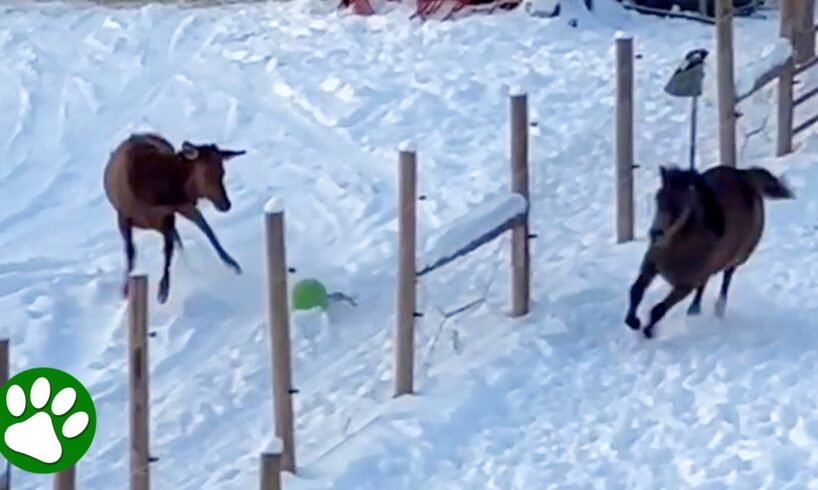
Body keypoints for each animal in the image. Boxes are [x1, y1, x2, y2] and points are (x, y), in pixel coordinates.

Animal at [103, 133, 246, 304]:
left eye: (222, 173)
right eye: (206, 173)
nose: (226, 204)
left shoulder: (169, 215)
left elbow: (169, 249)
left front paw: (163, 290)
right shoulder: (123, 216)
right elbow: (131, 252)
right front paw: (126, 290)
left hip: (182, 209)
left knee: (201, 229)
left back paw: (227, 262)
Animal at [625, 164, 794, 339]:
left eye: (679, 207)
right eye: (658, 199)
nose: (655, 234)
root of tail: (745, 175)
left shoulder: (685, 285)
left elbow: (658, 309)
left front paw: (648, 331)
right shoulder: (651, 265)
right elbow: (636, 290)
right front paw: (633, 321)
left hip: (738, 257)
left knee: (727, 277)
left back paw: (717, 309)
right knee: (704, 283)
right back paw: (694, 310)